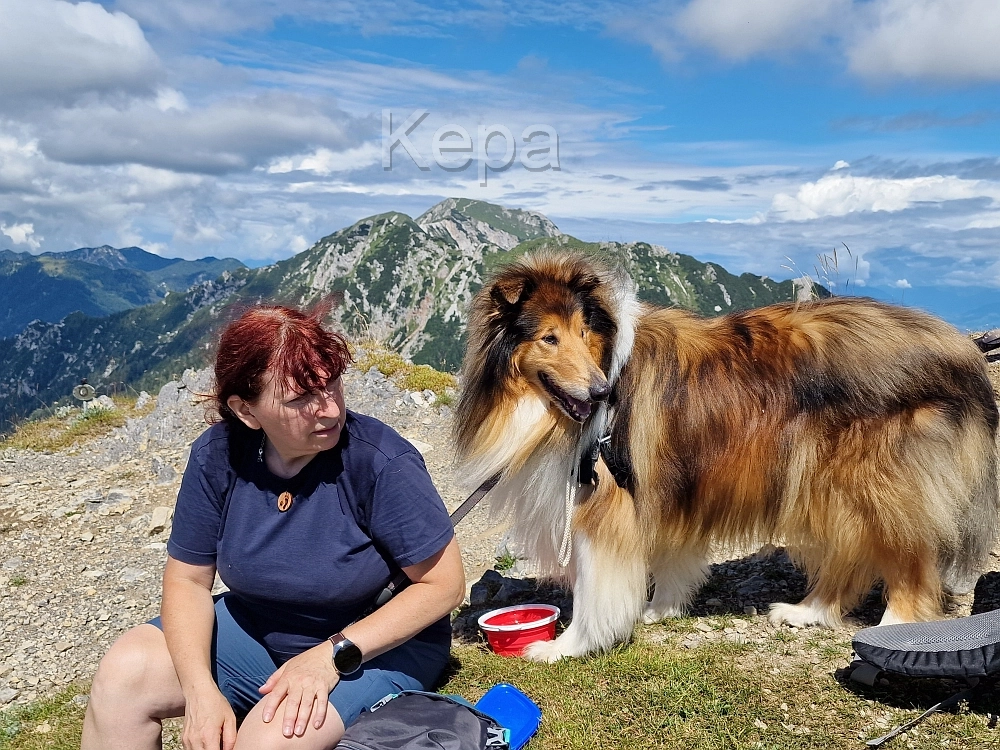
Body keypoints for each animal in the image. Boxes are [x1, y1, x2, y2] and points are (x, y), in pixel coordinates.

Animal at [456, 251, 1000, 664]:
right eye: (548, 337)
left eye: (582, 330)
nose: (601, 391)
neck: (609, 357)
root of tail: (961, 350)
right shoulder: (669, 486)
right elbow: (673, 558)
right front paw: (661, 609)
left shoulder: (607, 499)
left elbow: (595, 590)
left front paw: (565, 647)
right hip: (824, 483)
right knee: (849, 555)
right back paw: (807, 612)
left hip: (878, 484)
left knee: (908, 560)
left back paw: (893, 624)